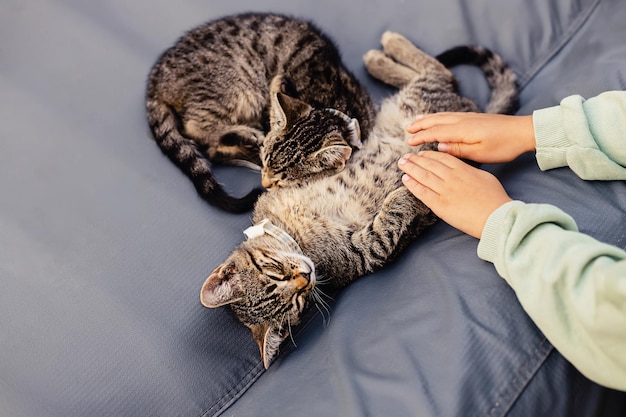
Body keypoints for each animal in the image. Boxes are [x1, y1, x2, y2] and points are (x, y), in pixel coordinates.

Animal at [146, 13, 372, 211]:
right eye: (267, 163)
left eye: (283, 180)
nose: (265, 184)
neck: (331, 102)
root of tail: (156, 77)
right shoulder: (276, 86)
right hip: (238, 86)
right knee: (194, 127)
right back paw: (248, 135)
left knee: (211, 150)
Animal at [200, 33, 516, 370]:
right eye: (297, 303)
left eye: (273, 271)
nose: (305, 278)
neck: (293, 234)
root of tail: (470, 110)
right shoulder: (366, 250)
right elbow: (391, 214)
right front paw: (413, 190)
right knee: (441, 75)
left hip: (420, 103)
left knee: (441, 72)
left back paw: (383, 52)